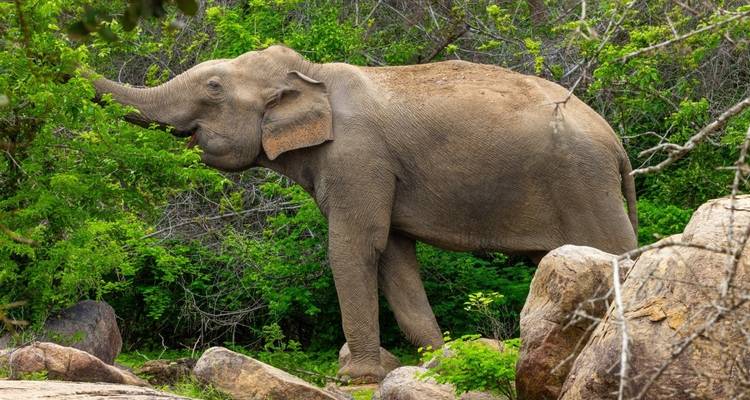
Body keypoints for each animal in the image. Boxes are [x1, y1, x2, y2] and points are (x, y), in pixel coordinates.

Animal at [92, 45, 638, 382]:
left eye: (212, 87)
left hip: (585, 185)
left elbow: (356, 247)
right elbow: (394, 255)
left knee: (618, 254)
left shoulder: (357, 157)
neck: (314, 74)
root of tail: (617, 144)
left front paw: (356, 377)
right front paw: (437, 361)